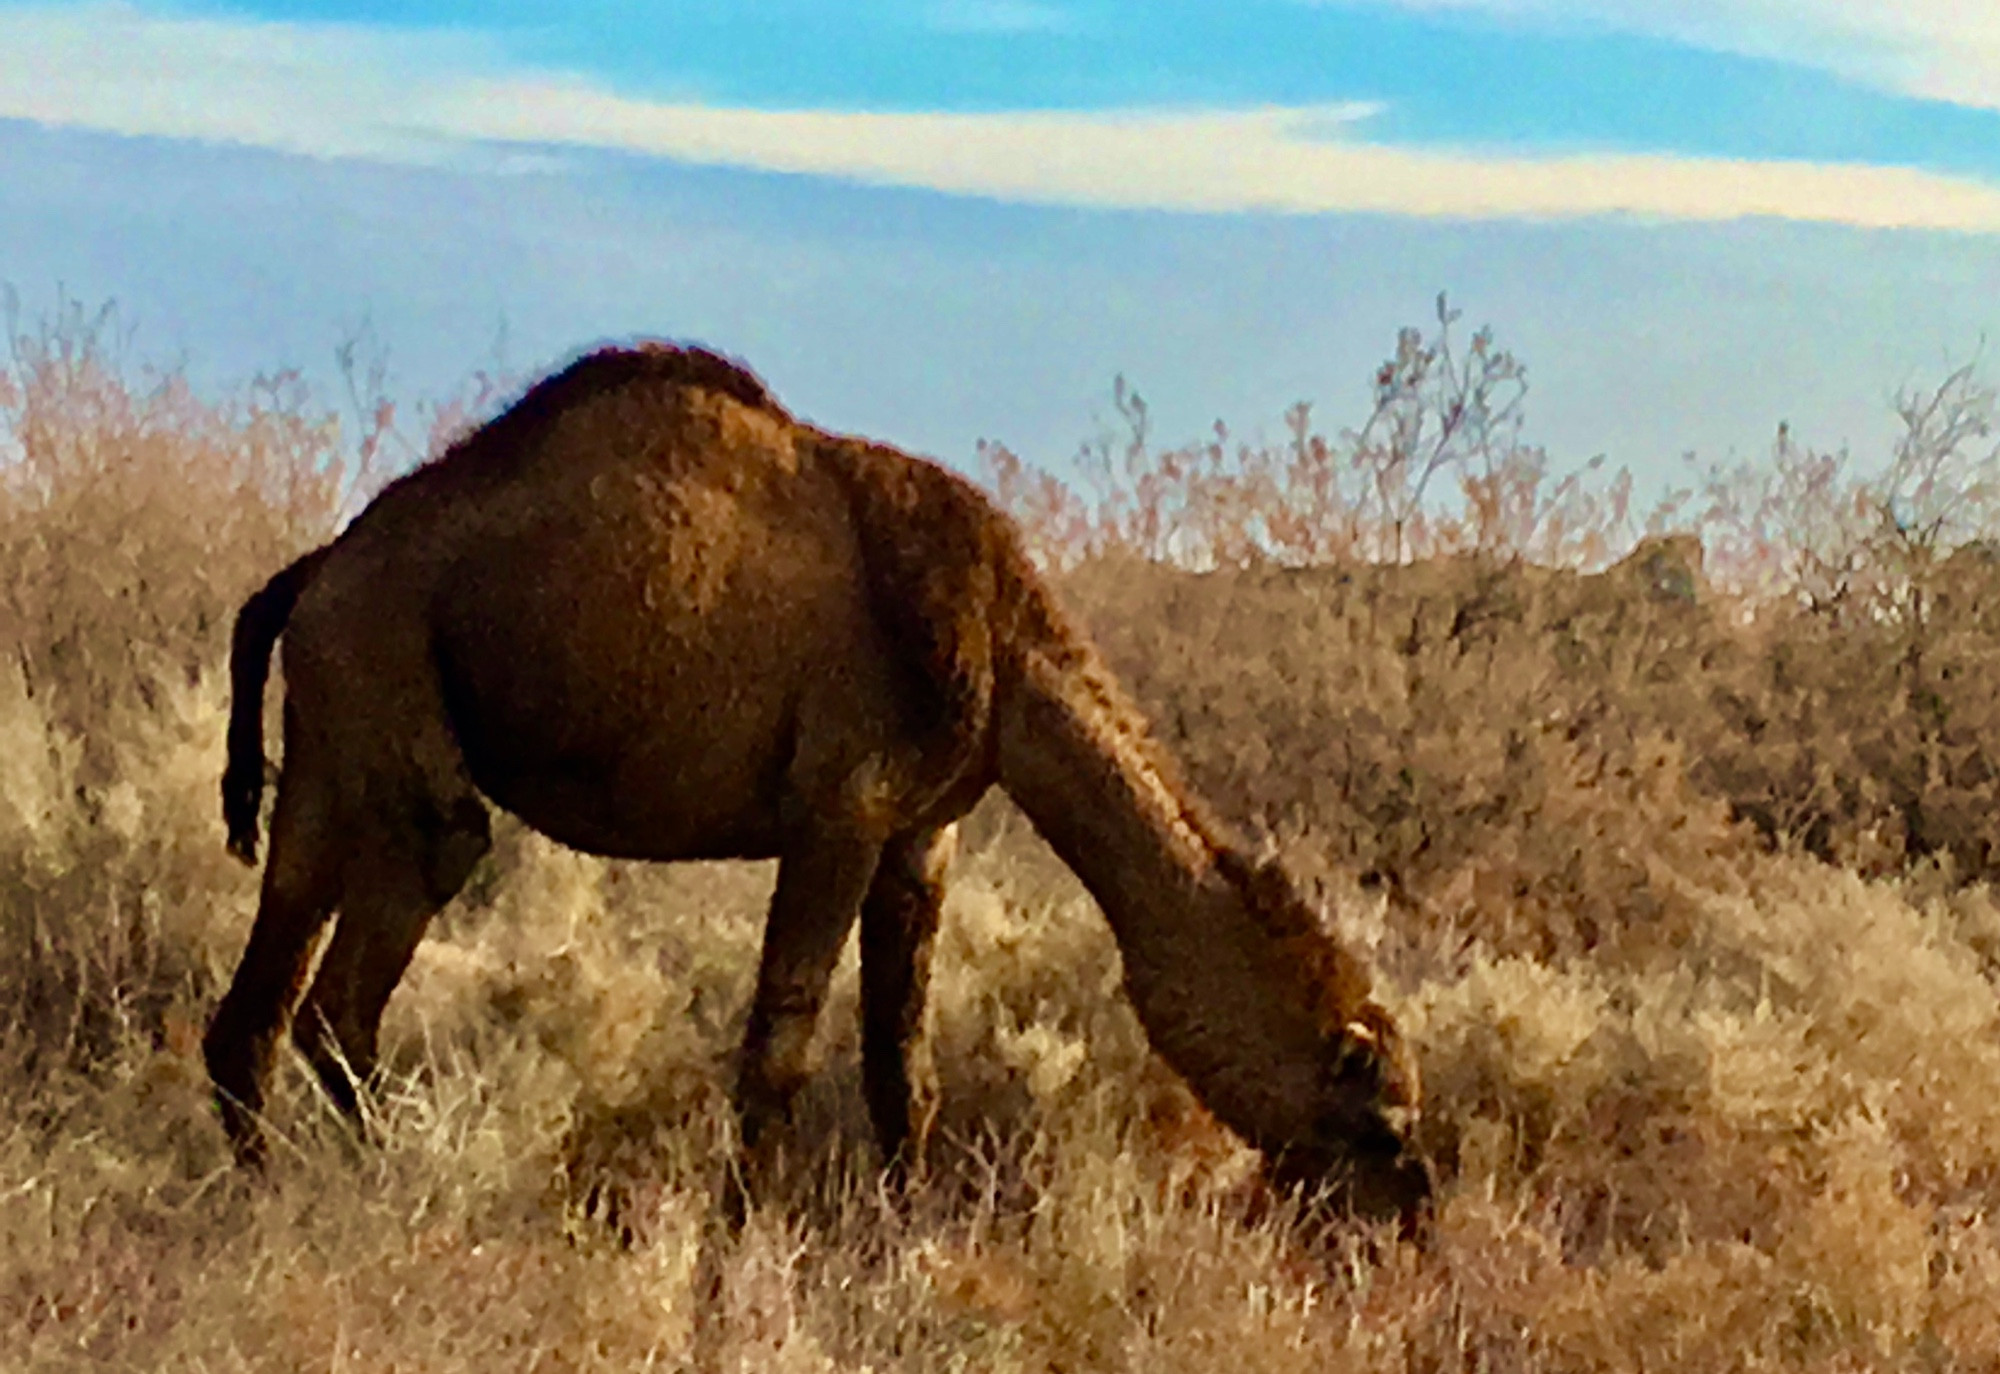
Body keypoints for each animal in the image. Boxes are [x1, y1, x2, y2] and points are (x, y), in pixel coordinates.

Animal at [207, 342, 1440, 1224]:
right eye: (1375, 1115)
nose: (1409, 1213)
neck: (1003, 659)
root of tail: (315, 569)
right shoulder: (840, 810)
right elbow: (782, 1054)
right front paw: (741, 1247)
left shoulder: (921, 831)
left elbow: (902, 1060)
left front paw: (905, 1231)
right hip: (391, 678)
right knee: (354, 981)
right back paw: (383, 1188)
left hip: (332, 731)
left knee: (258, 997)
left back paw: (260, 1190)